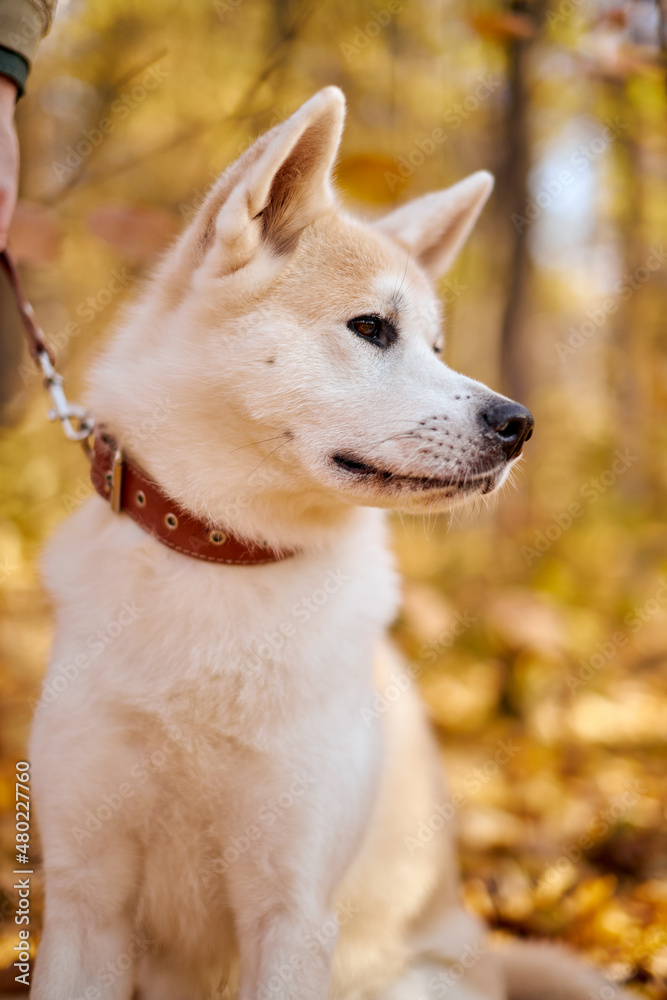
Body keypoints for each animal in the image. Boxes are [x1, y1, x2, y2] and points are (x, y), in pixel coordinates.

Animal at [30, 88, 628, 1000]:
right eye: (371, 328)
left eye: (436, 347)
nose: (518, 424)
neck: (225, 555)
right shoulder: (84, 901)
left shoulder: (293, 906)